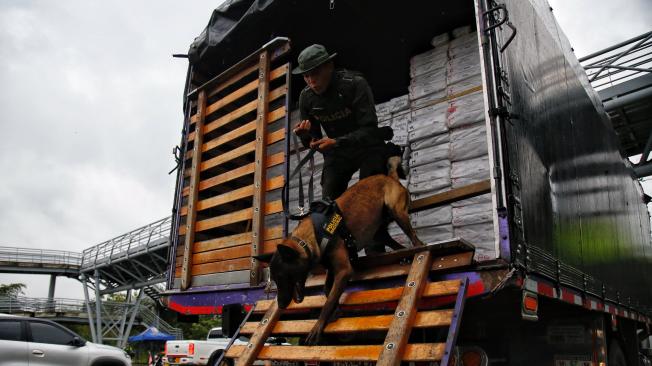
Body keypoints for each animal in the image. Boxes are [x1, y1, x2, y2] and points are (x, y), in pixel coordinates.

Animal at [255, 156, 422, 344]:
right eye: (274, 280)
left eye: (283, 277)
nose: (282, 305)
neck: (312, 236)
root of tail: (390, 177)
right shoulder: (332, 269)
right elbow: (328, 291)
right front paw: (335, 311)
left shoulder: (343, 271)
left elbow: (327, 301)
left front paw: (318, 326)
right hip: (379, 232)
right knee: (396, 244)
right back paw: (404, 257)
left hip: (397, 212)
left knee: (416, 239)